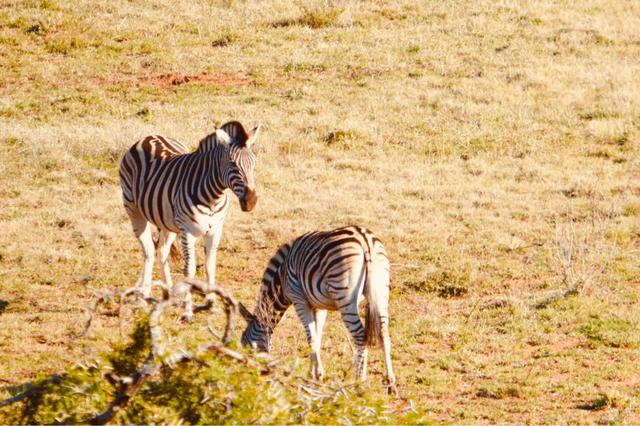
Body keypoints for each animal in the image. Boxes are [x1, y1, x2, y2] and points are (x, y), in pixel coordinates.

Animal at [120, 120, 260, 320]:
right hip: (134, 211)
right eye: (232, 163)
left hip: (168, 222)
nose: (251, 201)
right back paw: (143, 297)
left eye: (253, 163)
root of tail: (148, 137)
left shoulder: (215, 231)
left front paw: (211, 303)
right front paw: (188, 310)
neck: (213, 197)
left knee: (162, 251)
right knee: (149, 252)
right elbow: (190, 270)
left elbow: (210, 266)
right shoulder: (187, 232)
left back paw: (170, 294)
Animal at [238, 225, 398, 394]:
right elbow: (317, 338)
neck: (281, 279)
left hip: (345, 296)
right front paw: (315, 375)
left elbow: (311, 338)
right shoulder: (319, 307)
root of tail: (364, 238)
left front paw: (314, 376)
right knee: (385, 335)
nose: (249, 374)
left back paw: (359, 383)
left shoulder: (299, 300)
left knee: (360, 335)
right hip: (381, 293)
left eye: (245, 345)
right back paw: (391, 384)